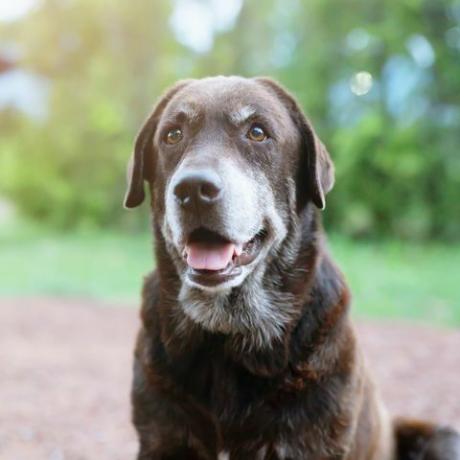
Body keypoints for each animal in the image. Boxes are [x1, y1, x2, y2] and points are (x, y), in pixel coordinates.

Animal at [125, 76, 460, 460]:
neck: (227, 333)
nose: (194, 188)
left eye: (257, 132)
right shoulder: (162, 437)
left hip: (445, 438)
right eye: (172, 135)